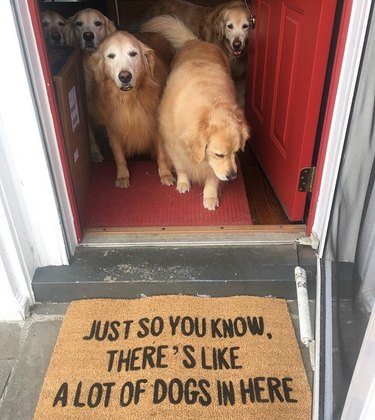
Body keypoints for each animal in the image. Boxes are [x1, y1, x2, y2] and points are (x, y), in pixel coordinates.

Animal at [87, 32, 175, 189]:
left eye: (133, 53)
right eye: (110, 56)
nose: (125, 76)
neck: (129, 100)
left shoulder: (156, 126)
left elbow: (162, 154)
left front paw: (165, 174)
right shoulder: (114, 128)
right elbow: (119, 156)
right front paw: (123, 176)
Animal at [156, 17, 250, 210]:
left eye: (236, 152)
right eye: (220, 154)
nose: (232, 176)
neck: (209, 107)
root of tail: (195, 41)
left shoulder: (211, 164)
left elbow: (212, 177)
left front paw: (210, 196)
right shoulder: (174, 146)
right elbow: (181, 167)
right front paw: (183, 182)